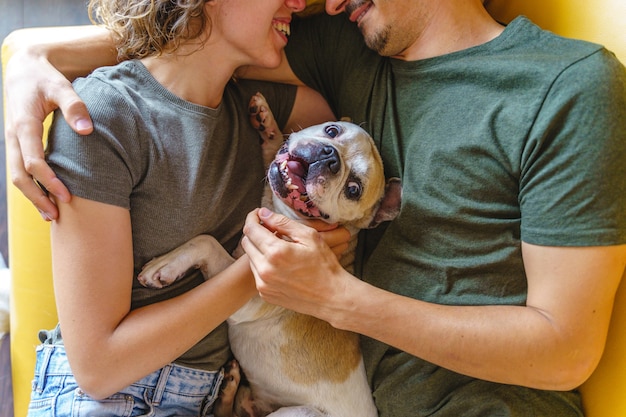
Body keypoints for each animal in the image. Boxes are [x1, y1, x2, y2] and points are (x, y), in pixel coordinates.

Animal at [136, 93, 400, 416]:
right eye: (332, 130)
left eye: (353, 190)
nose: (329, 157)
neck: (281, 212)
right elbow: (272, 152)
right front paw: (267, 123)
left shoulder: (243, 301)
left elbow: (206, 242)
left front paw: (164, 265)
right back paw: (229, 387)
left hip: (299, 412)